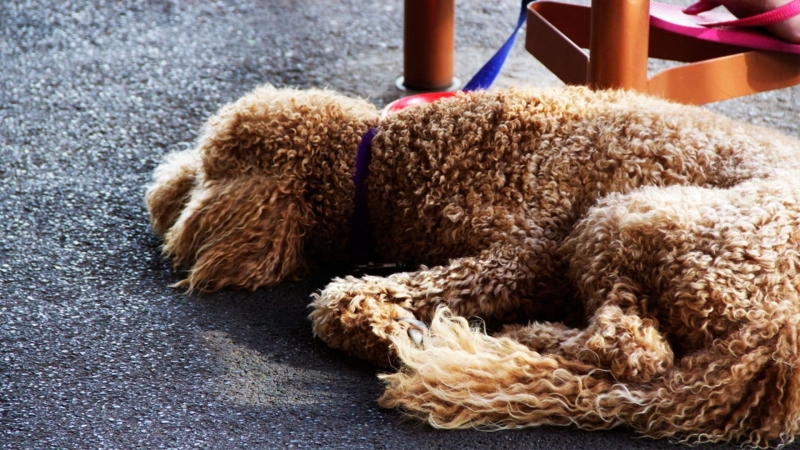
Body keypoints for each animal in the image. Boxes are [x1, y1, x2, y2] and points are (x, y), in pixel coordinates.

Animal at [147, 85, 800, 446]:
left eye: (208, 164)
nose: (159, 195)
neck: (383, 161)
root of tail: (779, 337)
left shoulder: (529, 255)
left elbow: (337, 301)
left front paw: (385, 326)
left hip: (632, 216)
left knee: (631, 350)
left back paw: (516, 338)